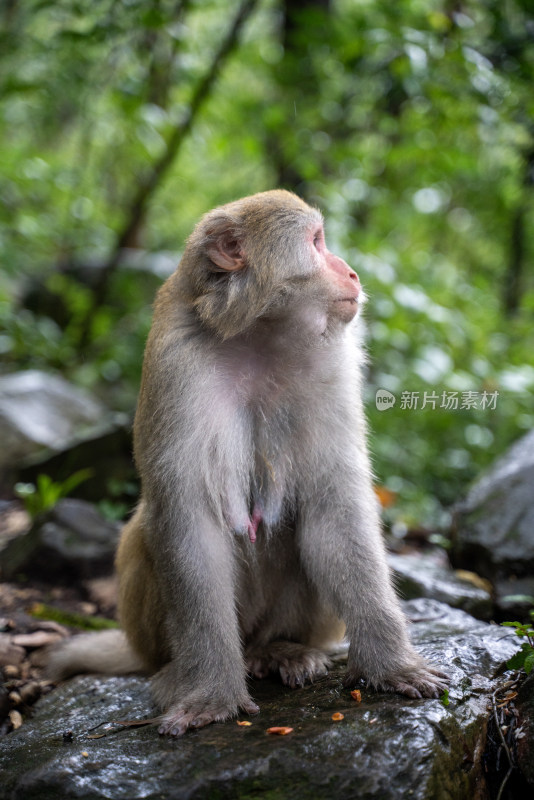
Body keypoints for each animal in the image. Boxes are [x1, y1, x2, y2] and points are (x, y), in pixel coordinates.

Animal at [50, 189, 450, 736]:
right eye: (316, 242)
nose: (352, 273)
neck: (258, 336)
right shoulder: (177, 362)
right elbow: (189, 522)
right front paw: (211, 693)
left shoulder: (334, 362)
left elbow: (336, 508)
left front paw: (391, 664)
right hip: (146, 633)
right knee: (145, 529)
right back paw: (180, 672)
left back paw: (280, 649)